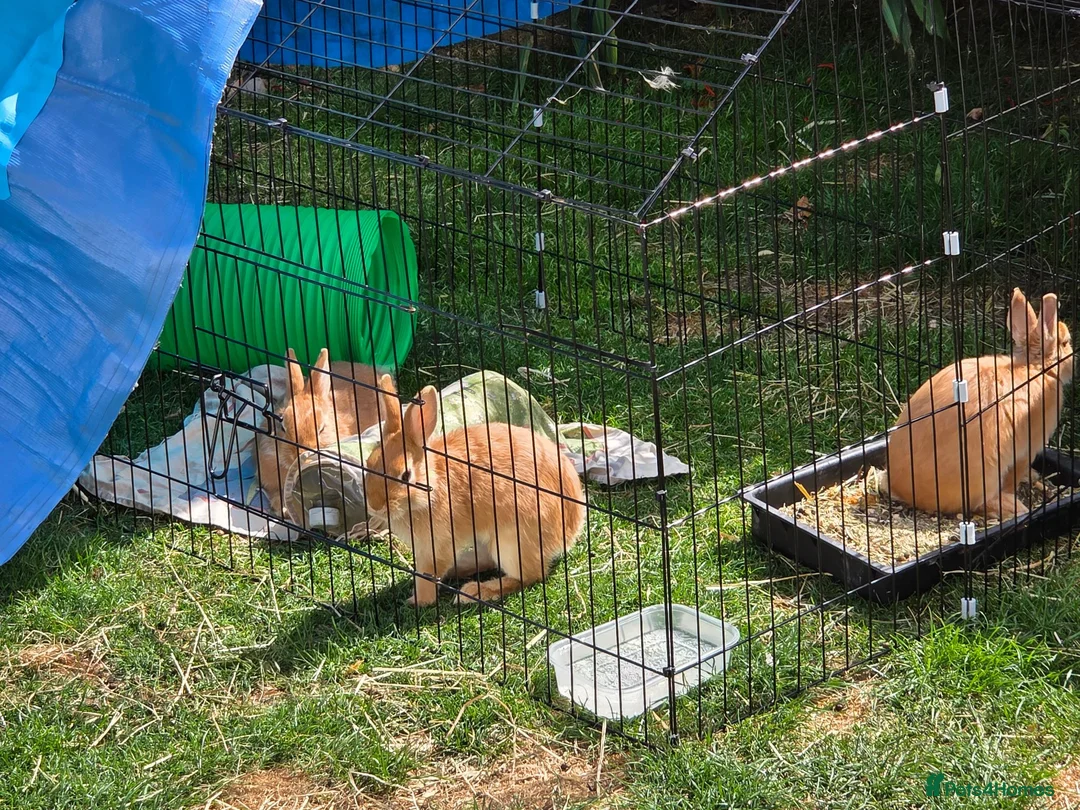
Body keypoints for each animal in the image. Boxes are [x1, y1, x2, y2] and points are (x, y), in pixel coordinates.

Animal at [363, 375, 586, 606]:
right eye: (369, 463)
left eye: (405, 476)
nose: (375, 506)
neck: (432, 486)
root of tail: (572, 527)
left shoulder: (437, 547)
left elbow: (428, 575)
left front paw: (418, 601)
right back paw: (459, 569)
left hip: (512, 543)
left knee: (529, 575)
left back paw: (475, 591)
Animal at [886, 288, 1074, 520]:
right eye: (1065, 343)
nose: (1073, 362)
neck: (1037, 368)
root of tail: (904, 490)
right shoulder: (1025, 450)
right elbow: (1013, 477)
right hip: (985, 473)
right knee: (979, 504)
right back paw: (1013, 507)